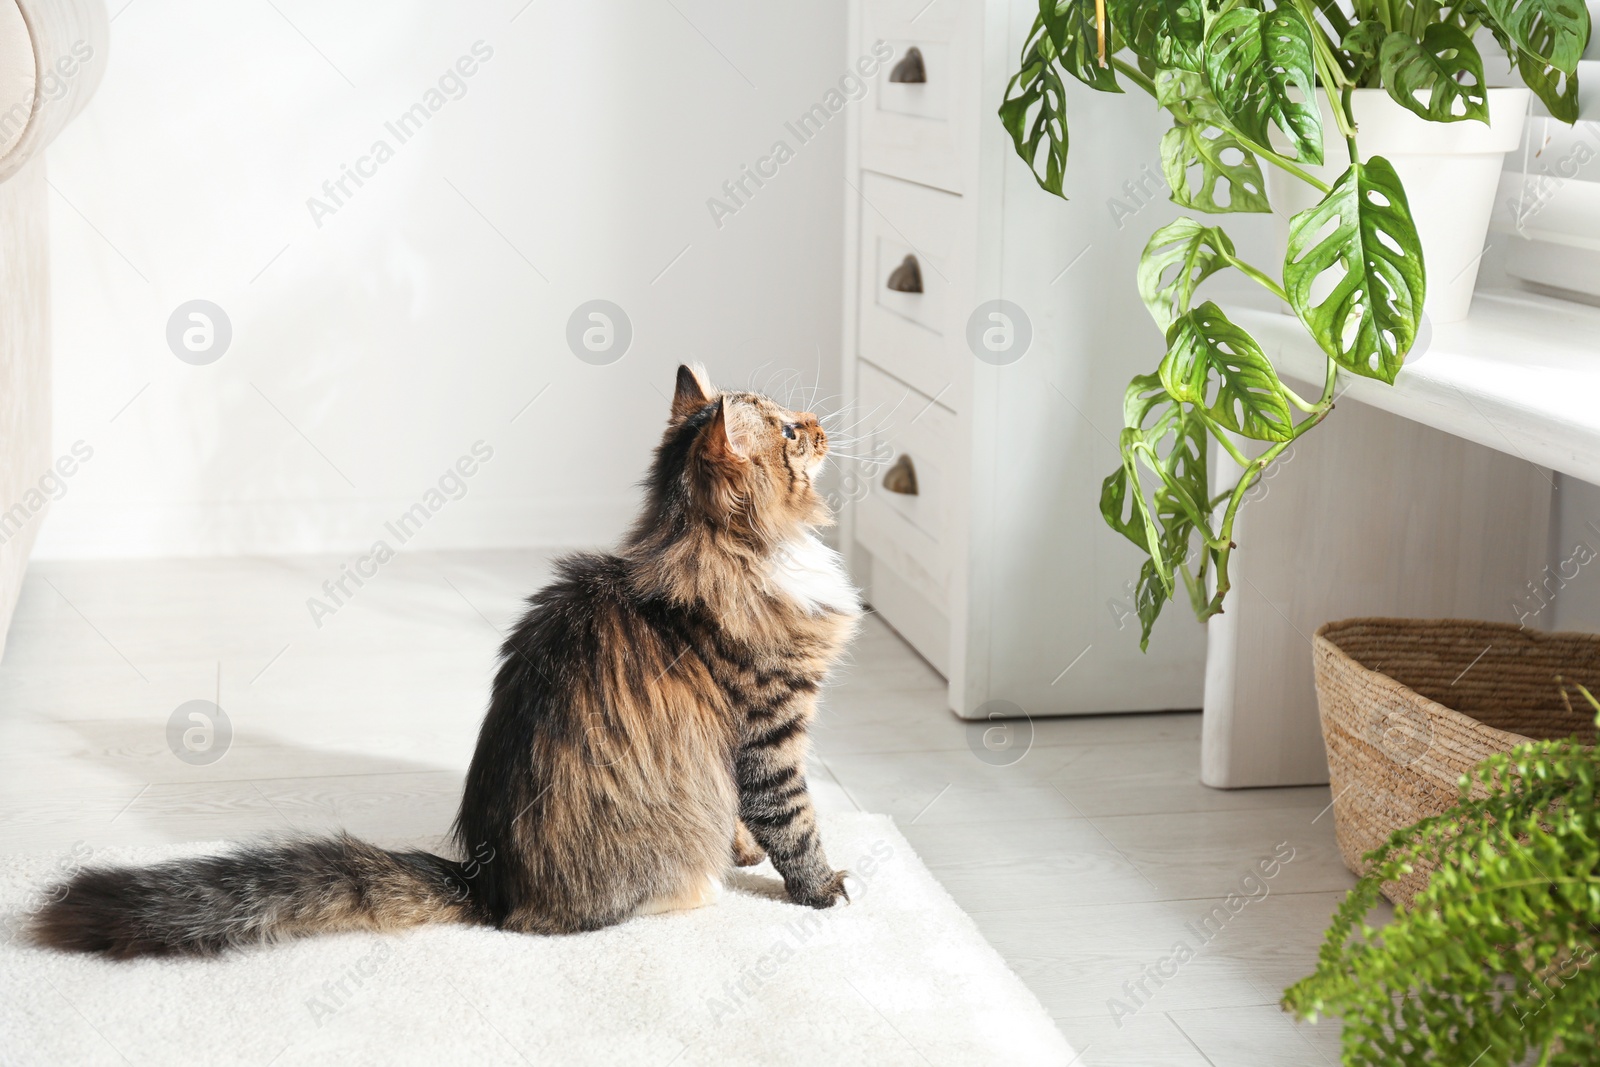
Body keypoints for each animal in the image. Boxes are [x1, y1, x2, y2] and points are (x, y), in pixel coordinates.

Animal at [34, 367, 864, 959]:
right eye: (790, 431)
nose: (822, 426)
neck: (710, 545)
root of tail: (487, 881)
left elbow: (755, 824)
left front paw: (749, 851)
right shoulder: (768, 733)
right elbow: (795, 822)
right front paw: (823, 890)